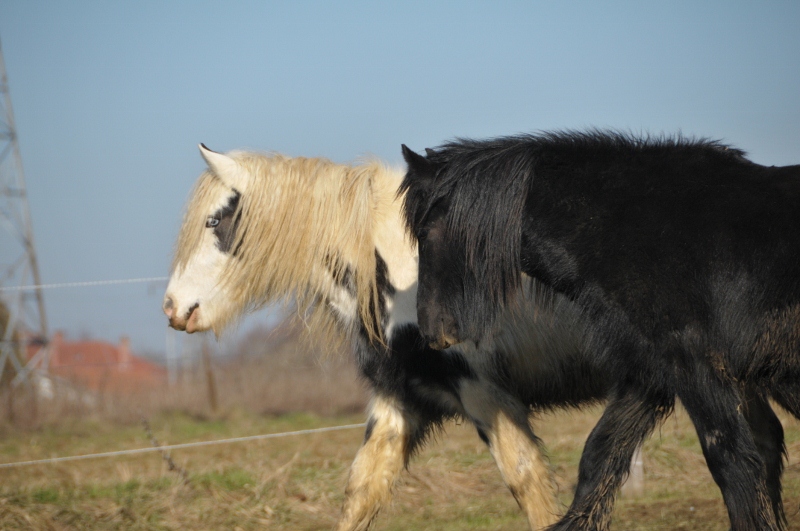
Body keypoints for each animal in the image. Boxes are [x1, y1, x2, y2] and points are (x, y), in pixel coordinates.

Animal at [166, 145, 604, 531]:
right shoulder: (399, 401)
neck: (410, 270)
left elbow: (529, 486)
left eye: (213, 222)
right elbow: (362, 491)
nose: (172, 307)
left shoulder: (486, 393)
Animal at [404, 130, 800, 531]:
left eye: (425, 232)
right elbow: (600, 457)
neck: (636, 234)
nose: (430, 330)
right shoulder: (648, 373)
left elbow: (733, 464)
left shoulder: (696, 369)